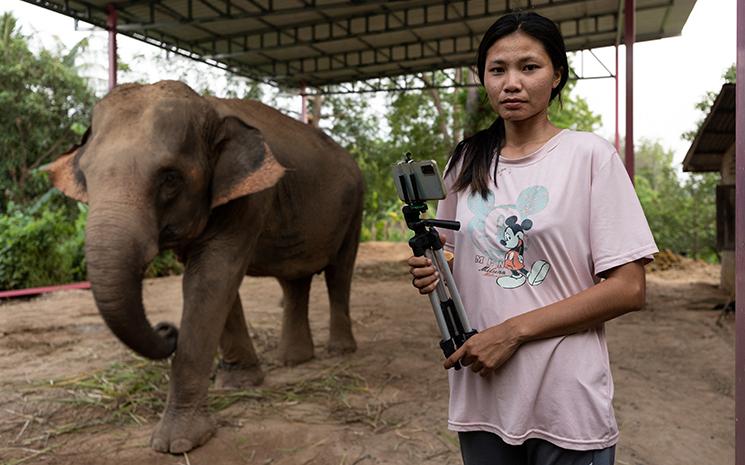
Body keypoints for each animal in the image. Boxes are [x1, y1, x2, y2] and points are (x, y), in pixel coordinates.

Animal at [43, 80, 364, 454]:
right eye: (87, 175)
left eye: (170, 178)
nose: (167, 330)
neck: (207, 106)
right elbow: (212, 283)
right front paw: (240, 382)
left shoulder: (250, 198)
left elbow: (211, 278)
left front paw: (177, 443)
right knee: (294, 280)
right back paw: (293, 360)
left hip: (355, 206)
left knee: (339, 273)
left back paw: (340, 352)